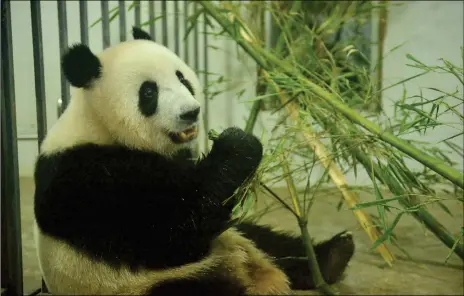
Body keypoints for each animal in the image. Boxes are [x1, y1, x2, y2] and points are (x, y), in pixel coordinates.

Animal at [32, 26, 356, 294]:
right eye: (148, 92)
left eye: (182, 78)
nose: (191, 112)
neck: (99, 125)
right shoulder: (85, 178)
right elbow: (167, 232)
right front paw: (238, 144)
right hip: (144, 285)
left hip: (235, 235)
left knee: (265, 237)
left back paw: (331, 257)